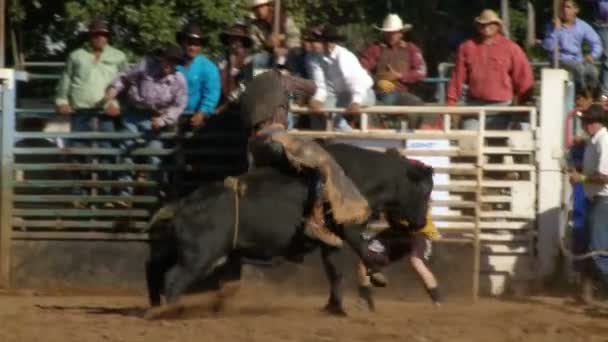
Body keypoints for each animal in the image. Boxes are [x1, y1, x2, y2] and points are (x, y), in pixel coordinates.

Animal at [146, 142, 432, 316]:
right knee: (173, 279)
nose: (420, 224)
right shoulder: (348, 227)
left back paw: (155, 307)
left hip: (174, 250)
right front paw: (378, 275)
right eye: (425, 191)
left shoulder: (331, 243)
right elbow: (363, 250)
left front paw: (335, 307)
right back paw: (170, 312)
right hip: (199, 256)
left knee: (154, 271)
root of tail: (182, 204)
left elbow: (335, 273)